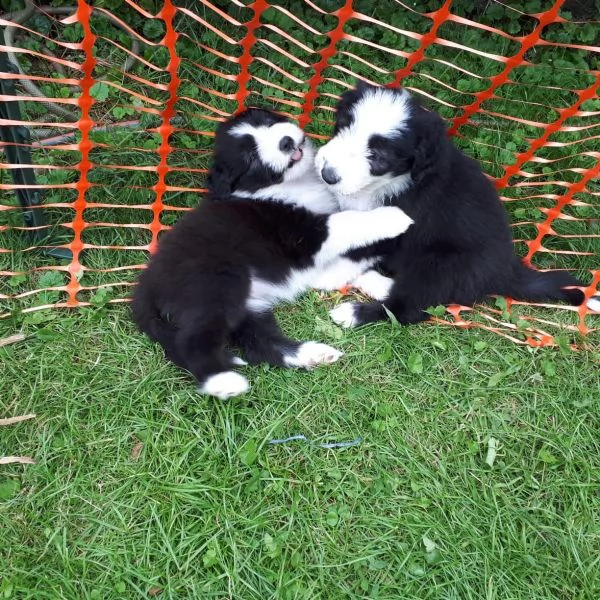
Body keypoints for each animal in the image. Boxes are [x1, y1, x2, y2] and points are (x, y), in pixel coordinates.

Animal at [131, 108, 412, 398]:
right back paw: (222, 381)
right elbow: (348, 222)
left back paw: (311, 354)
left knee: (259, 343)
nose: (286, 142)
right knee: (192, 341)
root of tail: (147, 283)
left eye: (265, 120)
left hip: (245, 307)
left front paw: (384, 285)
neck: (289, 187)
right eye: (250, 157)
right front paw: (393, 218)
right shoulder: (303, 237)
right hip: (216, 282)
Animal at [314, 81, 600, 328]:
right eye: (342, 127)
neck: (387, 182)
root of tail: (508, 270)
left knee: (409, 307)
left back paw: (354, 312)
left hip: (441, 264)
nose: (328, 174)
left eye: (379, 156)